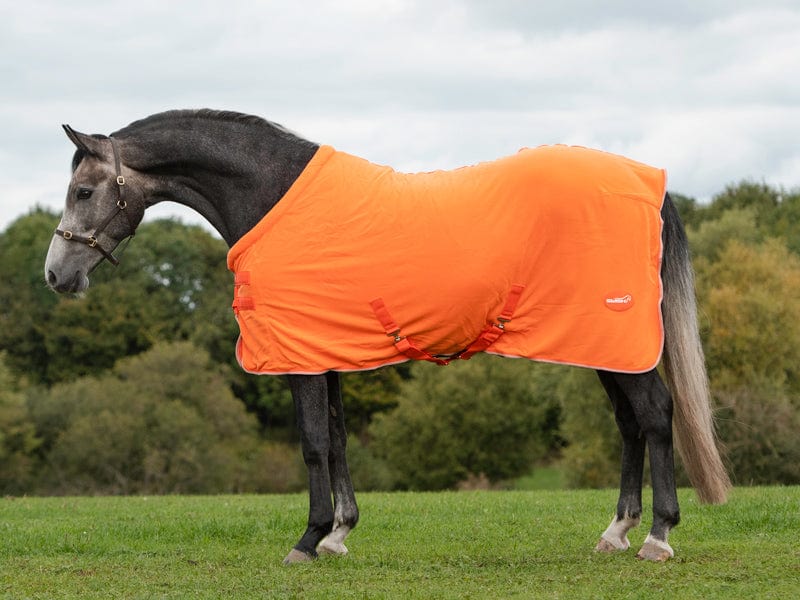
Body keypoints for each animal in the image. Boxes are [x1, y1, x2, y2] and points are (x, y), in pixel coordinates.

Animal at [44, 109, 731, 564]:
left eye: (84, 190)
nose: (56, 275)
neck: (275, 198)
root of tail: (646, 183)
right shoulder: (324, 352)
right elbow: (339, 440)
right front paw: (340, 532)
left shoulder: (300, 357)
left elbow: (313, 444)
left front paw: (308, 540)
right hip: (600, 344)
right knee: (630, 424)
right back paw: (616, 531)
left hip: (618, 339)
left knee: (655, 414)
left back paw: (657, 536)